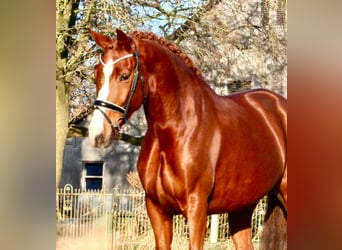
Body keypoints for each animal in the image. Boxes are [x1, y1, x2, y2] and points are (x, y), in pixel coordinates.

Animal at [88, 29, 286, 250]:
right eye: (96, 74)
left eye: (124, 75)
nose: (97, 133)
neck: (177, 129)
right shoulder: (157, 209)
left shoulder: (196, 209)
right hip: (241, 207)